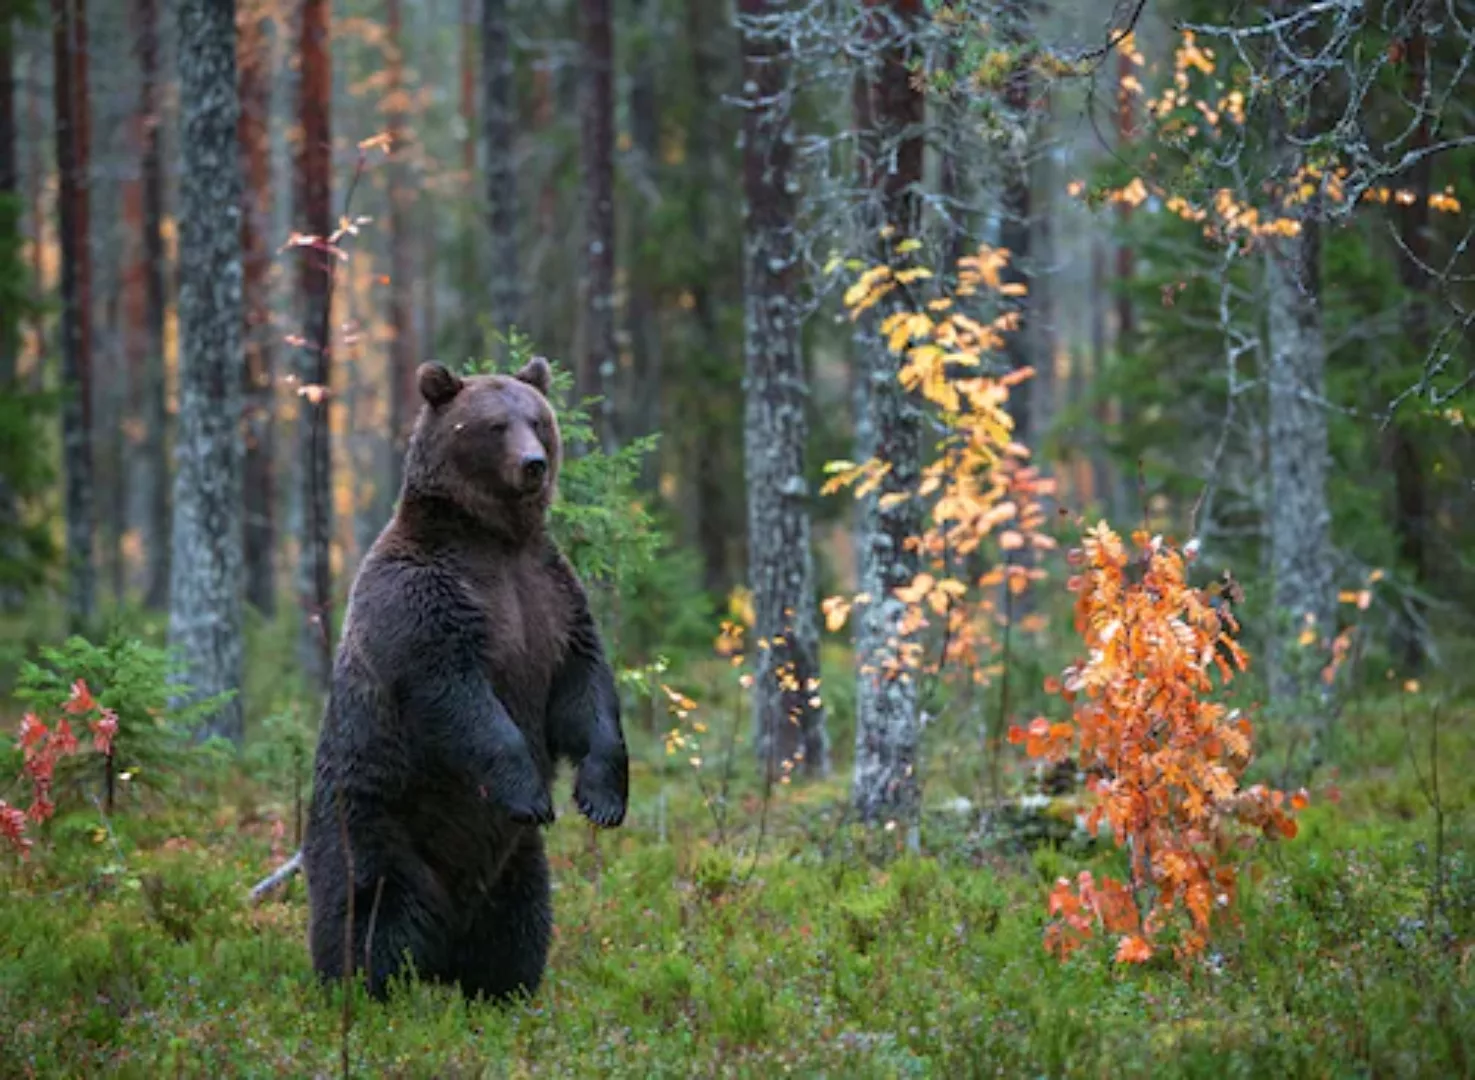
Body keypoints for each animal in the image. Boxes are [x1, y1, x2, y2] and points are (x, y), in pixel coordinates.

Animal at [305, 358, 628, 997]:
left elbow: (584, 687)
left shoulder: (552, 599)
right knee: (372, 912)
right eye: (495, 425)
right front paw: (531, 793)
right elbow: (458, 696)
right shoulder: (423, 601)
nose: (534, 464)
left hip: (513, 866)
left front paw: (601, 798)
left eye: (537, 419)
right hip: (376, 825)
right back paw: (367, 987)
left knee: (520, 922)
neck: (494, 540)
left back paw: (501, 988)